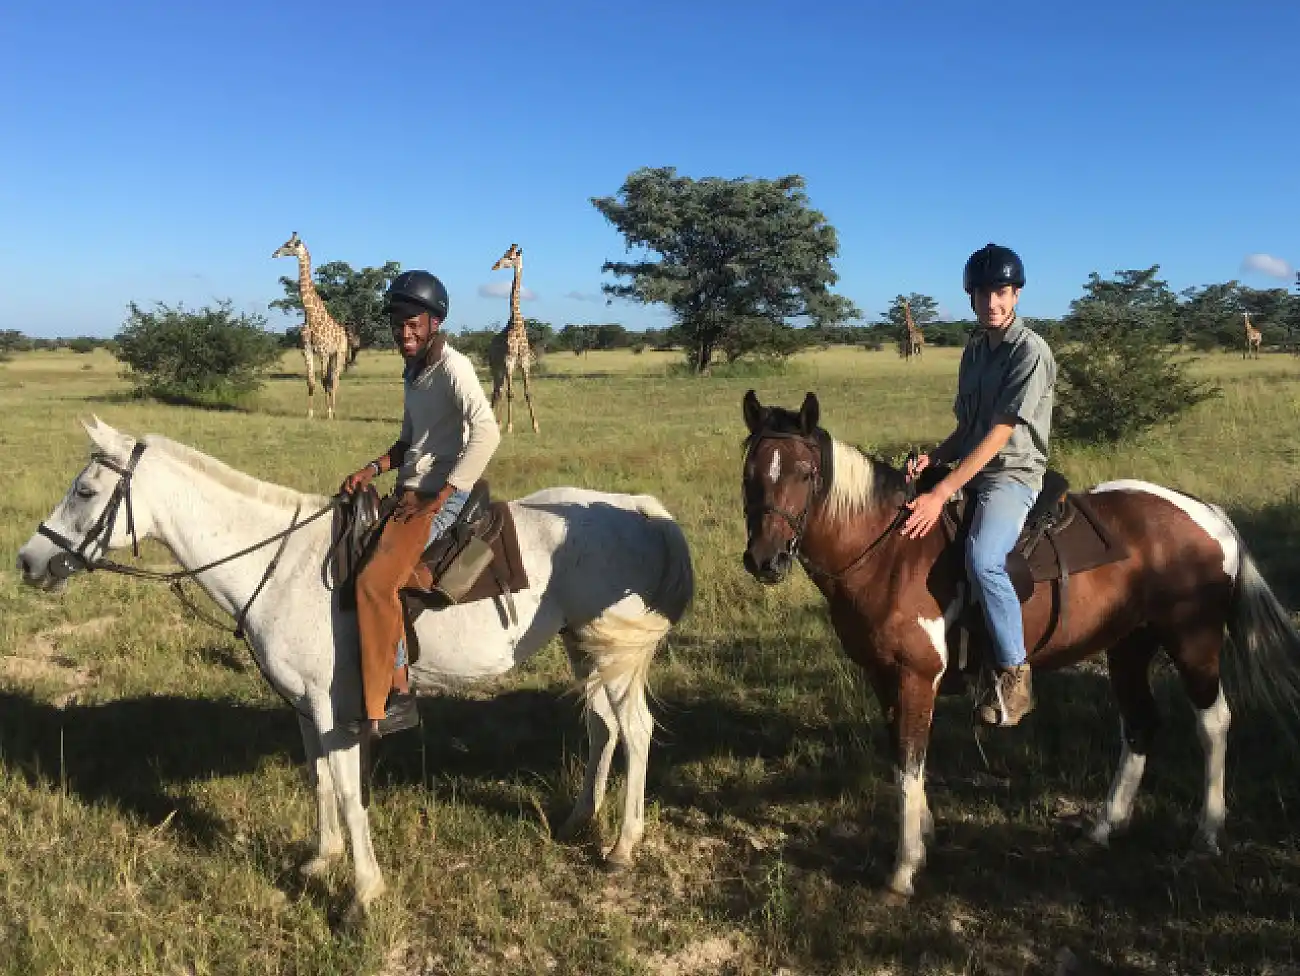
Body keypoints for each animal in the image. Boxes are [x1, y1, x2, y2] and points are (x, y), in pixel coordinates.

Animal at [16, 418, 694, 919]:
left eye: (84, 491)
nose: (29, 560)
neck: (283, 563)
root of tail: (642, 509)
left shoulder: (334, 708)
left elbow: (346, 790)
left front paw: (364, 892)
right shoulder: (305, 707)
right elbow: (320, 781)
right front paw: (322, 859)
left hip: (615, 658)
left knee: (635, 731)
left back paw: (622, 846)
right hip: (587, 648)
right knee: (603, 728)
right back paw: (581, 818)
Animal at [740, 390, 1300, 899]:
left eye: (805, 473)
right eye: (750, 473)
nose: (765, 560)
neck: (890, 550)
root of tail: (1208, 514)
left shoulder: (917, 676)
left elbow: (911, 762)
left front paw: (903, 869)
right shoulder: (883, 678)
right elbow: (902, 761)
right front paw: (924, 837)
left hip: (1192, 641)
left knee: (1213, 723)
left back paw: (1207, 833)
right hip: (1128, 646)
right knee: (1140, 724)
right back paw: (1104, 827)